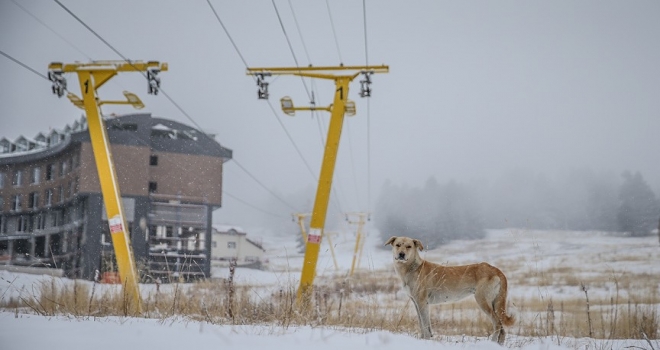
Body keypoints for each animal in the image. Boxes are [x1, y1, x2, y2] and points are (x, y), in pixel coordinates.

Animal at [386, 235, 516, 344]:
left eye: (409, 246)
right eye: (398, 245)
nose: (401, 254)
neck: (412, 268)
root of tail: (496, 270)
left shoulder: (422, 302)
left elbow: (425, 325)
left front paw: (426, 341)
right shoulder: (416, 303)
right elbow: (422, 324)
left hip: (483, 301)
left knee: (497, 323)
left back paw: (492, 343)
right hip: (495, 303)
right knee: (502, 328)